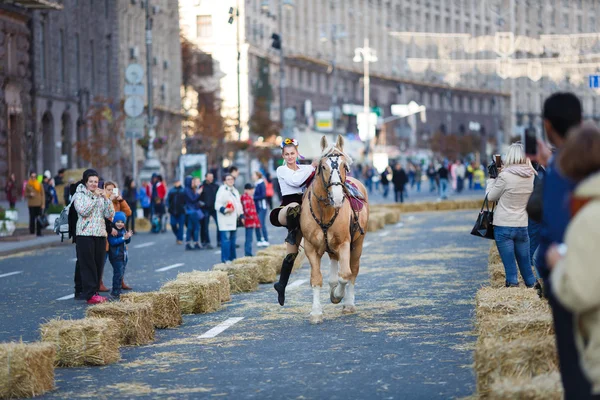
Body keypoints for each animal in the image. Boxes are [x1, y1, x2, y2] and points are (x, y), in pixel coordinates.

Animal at [300, 136, 370, 324]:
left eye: (344, 166)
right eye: (323, 166)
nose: (337, 197)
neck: (325, 210)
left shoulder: (345, 243)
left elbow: (345, 274)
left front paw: (338, 296)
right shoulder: (310, 247)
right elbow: (316, 278)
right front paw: (316, 312)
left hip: (358, 243)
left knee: (353, 270)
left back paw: (348, 303)